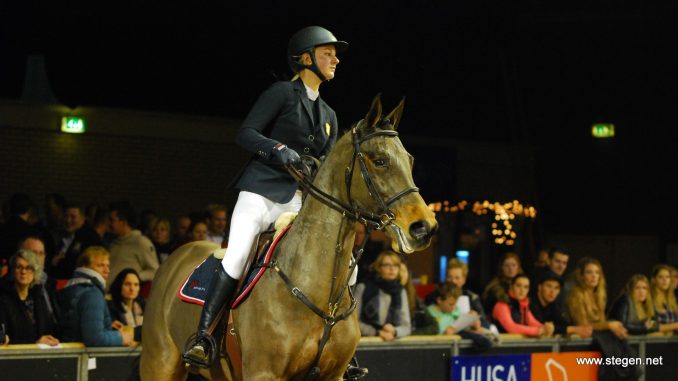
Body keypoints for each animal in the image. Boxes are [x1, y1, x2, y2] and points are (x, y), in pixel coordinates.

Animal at [142, 95, 440, 380]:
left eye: (410, 161)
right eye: (380, 161)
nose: (424, 227)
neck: (316, 291)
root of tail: (179, 254)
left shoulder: (331, 376)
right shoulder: (264, 373)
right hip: (159, 363)